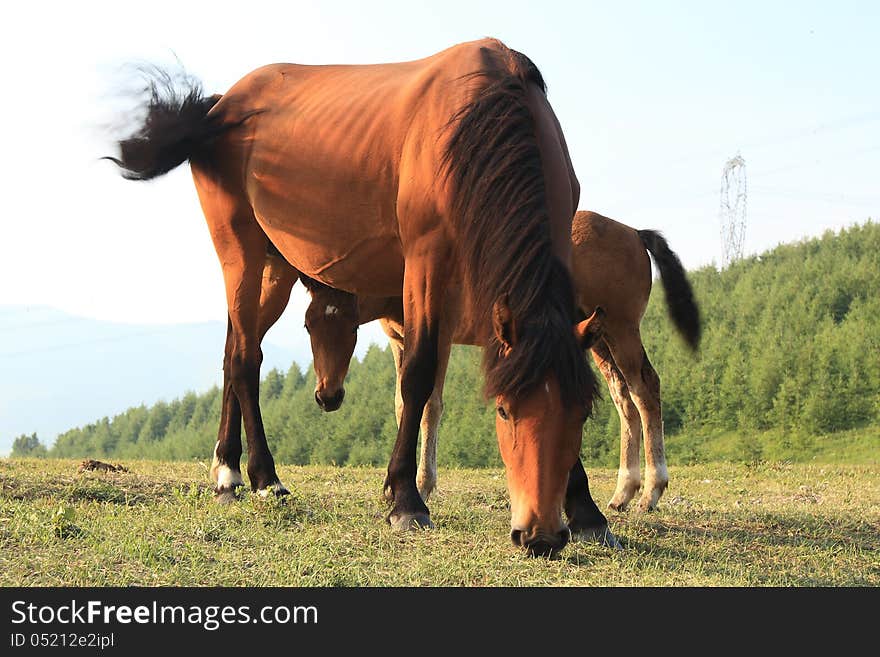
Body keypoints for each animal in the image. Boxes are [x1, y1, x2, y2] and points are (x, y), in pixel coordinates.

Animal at [106, 39, 600, 552]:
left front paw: (586, 510)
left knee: (235, 349)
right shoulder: (426, 261)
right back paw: (261, 477)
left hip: (274, 268)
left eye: (583, 414)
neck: (479, 121)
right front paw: (405, 499)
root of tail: (220, 108)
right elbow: (417, 376)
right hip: (237, 249)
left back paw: (228, 470)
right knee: (244, 358)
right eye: (503, 410)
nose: (540, 535)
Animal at [300, 210, 696, 512]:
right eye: (307, 325)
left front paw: (422, 485)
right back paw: (622, 493)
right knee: (622, 397)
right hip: (596, 336)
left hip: (621, 328)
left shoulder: (440, 338)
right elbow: (402, 403)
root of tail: (634, 233)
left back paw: (651, 492)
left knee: (645, 388)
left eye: (349, 326)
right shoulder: (400, 342)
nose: (327, 396)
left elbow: (430, 405)